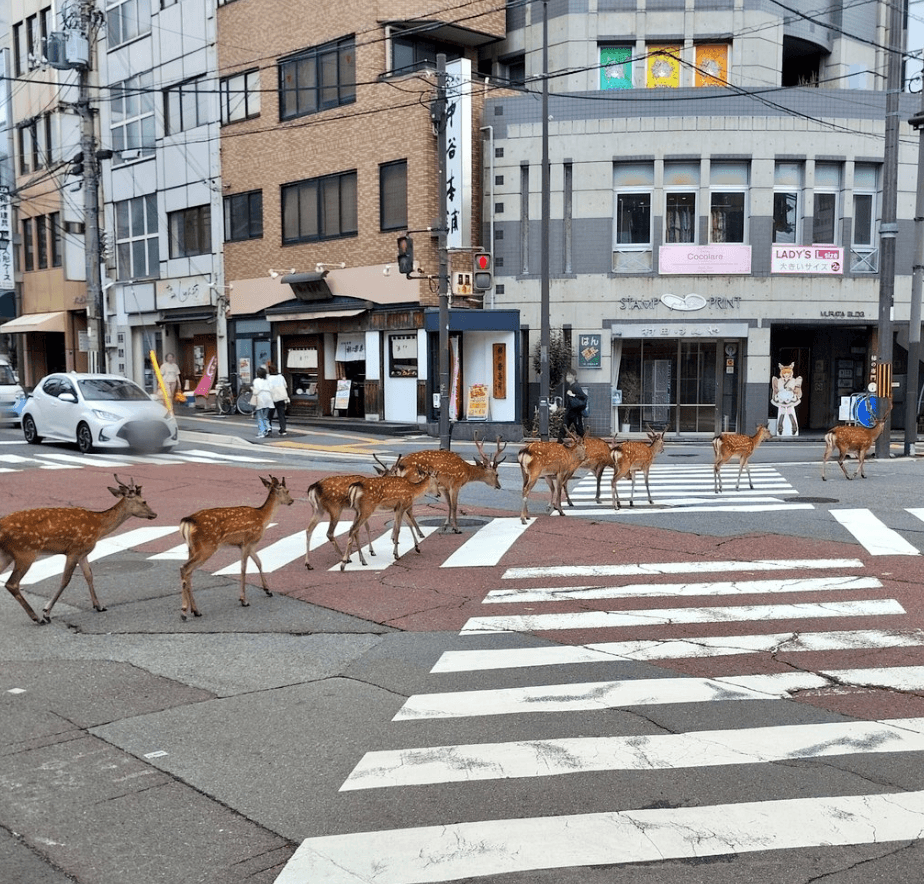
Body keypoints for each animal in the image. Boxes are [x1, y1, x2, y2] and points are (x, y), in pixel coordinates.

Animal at [0, 475, 156, 624]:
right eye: (144, 501)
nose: (155, 514)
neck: (99, 527)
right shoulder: (74, 550)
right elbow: (65, 580)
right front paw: (46, 612)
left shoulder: (83, 553)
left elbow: (89, 576)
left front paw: (99, 606)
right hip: (25, 552)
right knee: (12, 583)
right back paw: (37, 617)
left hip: (7, 554)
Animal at [179, 475, 293, 620]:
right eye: (287, 491)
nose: (292, 500)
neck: (263, 518)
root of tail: (187, 521)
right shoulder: (247, 541)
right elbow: (243, 568)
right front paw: (244, 600)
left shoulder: (249, 545)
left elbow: (259, 562)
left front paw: (268, 590)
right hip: (206, 546)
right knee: (184, 568)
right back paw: (184, 612)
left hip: (192, 548)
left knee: (189, 573)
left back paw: (195, 610)